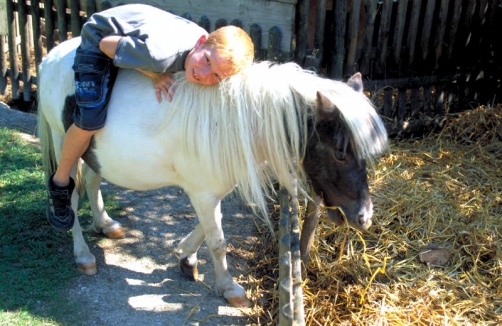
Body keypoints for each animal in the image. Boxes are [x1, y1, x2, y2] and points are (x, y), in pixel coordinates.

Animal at [38, 37, 388, 306]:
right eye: (340, 152)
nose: (364, 218)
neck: (234, 120)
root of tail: (51, 56)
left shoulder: (210, 190)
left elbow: (209, 229)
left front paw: (185, 256)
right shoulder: (203, 192)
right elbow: (217, 241)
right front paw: (228, 287)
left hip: (94, 152)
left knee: (93, 180)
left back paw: (106, 224)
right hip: (64, 141)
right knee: (69, 195)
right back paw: (84, 256)